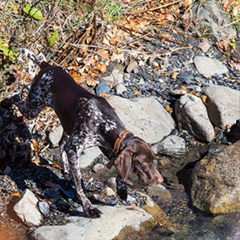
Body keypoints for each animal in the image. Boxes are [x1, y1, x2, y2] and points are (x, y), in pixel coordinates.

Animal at [9, 49, 163, 218]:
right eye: (144, 162)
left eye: (152, 160)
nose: (160, 180)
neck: (104, 121)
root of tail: (47, 65)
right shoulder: (75, 147)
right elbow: (79, 184)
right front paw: (88, 207)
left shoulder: (108, 145)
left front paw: (122, 189)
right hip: (33, 107)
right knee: (15, 97)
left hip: (66, 124)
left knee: (62, 143)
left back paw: (67, 171)